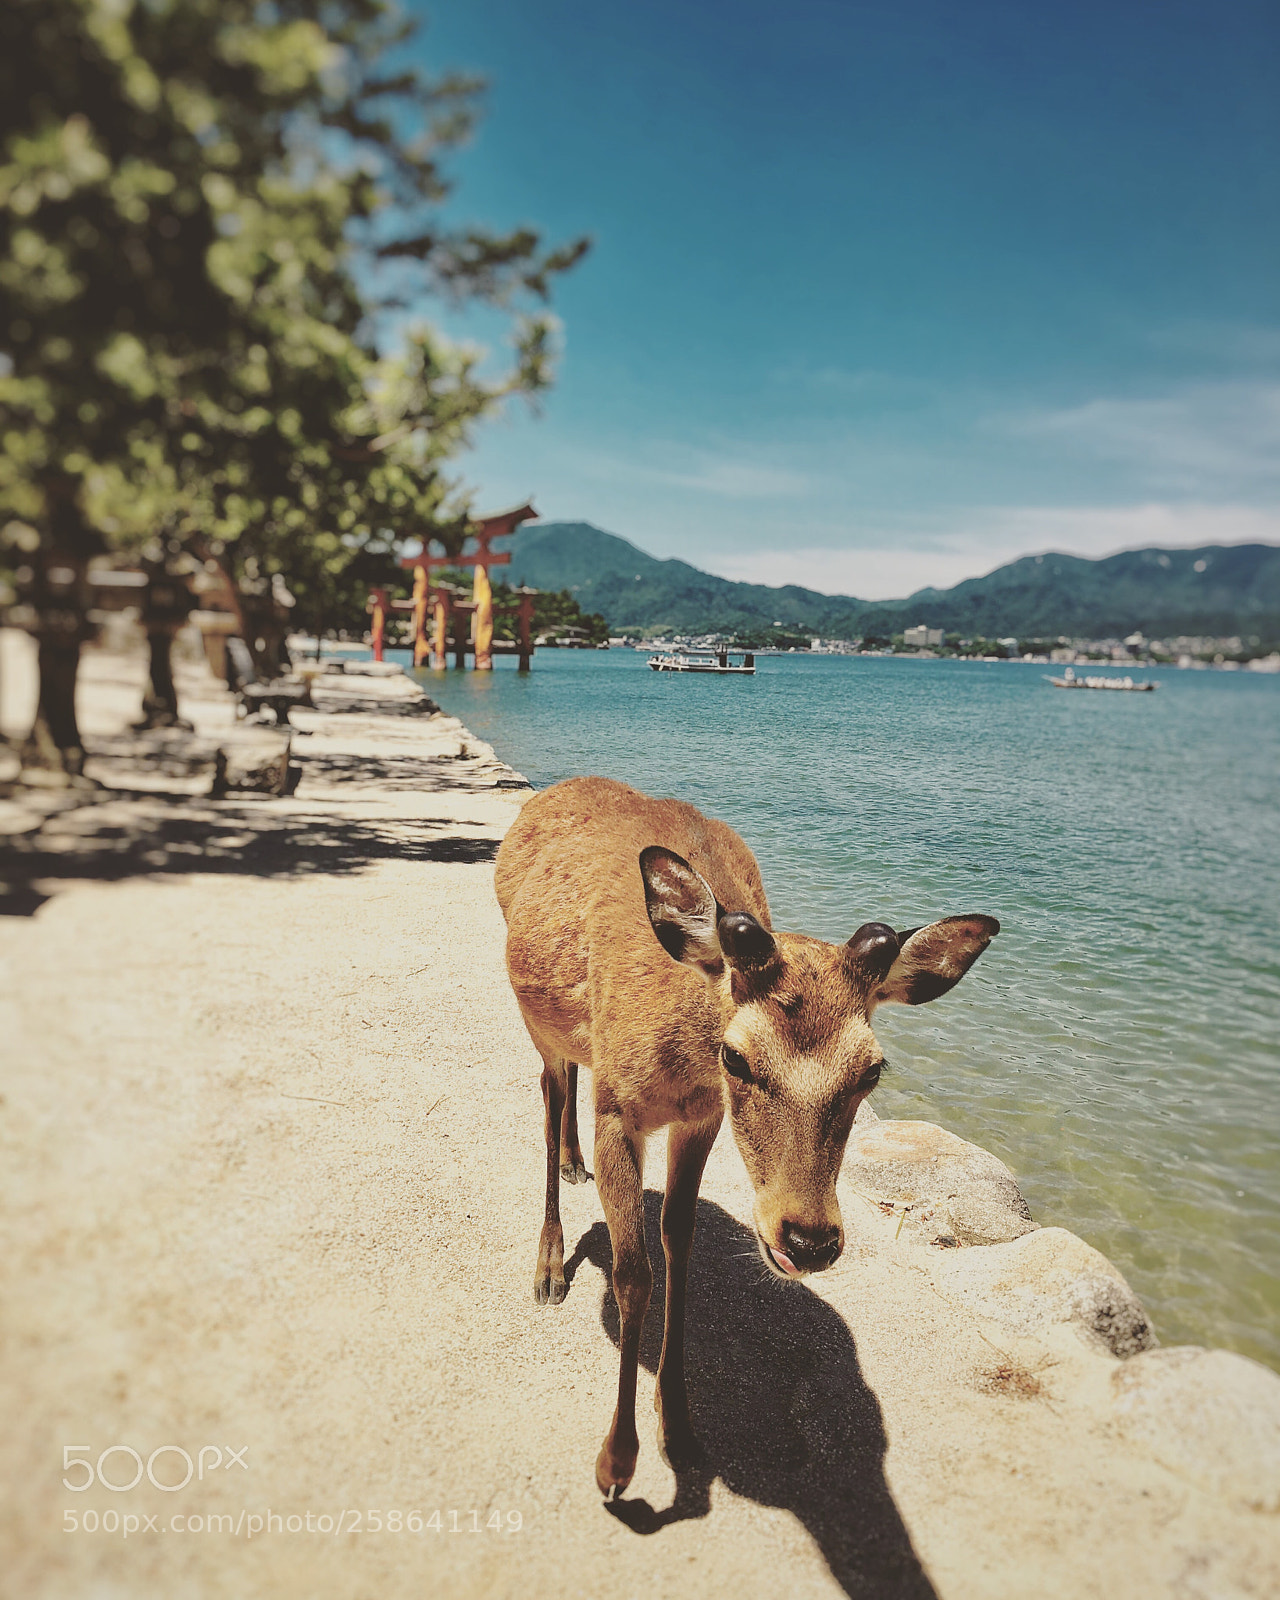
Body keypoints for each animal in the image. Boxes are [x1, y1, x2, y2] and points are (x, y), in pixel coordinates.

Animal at [495, 776, 998, 1497]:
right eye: (735, 1058)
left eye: (873, 1070)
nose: (809, 1239)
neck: (681, 1061)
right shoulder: (618, 1109)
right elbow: (632, 1273)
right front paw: (616, 1463)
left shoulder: (701, 1119)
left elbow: (679, 1245)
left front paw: (680, 1426)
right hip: (534, 1020)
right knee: (550, 1090)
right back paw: (547, 1265)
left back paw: (572, 1164)